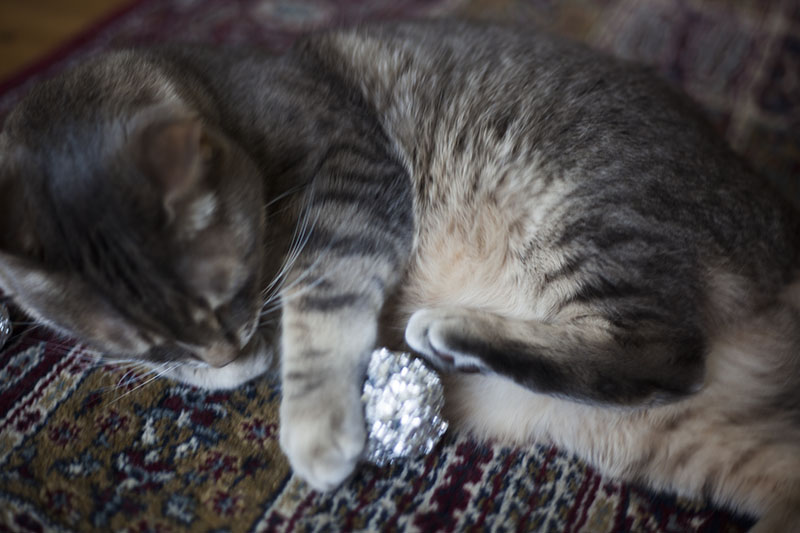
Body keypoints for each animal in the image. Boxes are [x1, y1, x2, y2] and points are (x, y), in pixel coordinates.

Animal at [1, 19, 800, 528]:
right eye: (155, 346)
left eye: (227, 297)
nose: (226, 356)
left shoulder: (356, 171)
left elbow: (323, 296)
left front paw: (314, 421)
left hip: (595, 215)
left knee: (664, 353)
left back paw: (451, 332)